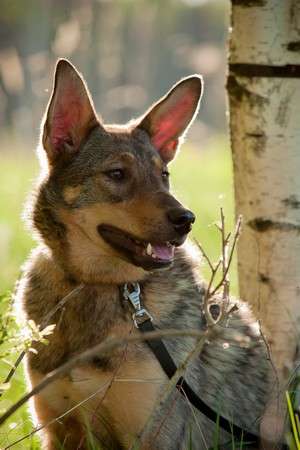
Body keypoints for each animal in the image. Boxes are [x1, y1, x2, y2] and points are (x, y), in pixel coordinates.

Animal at [17, 60, 274, 450]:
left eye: (163, 174)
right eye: (116, 173)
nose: (186, 219)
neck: (95, 287)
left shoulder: (154, 433)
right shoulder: (59, 431)